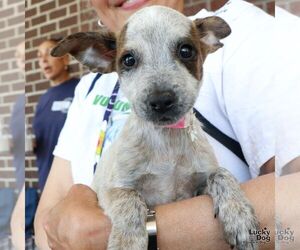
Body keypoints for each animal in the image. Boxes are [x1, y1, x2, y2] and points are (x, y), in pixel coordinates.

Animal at [51, 5, 258, 250]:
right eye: (128, 60)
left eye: (186, 51)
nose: (161, 100)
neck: (166, 141)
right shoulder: (113, 189)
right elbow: (130, 200)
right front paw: (127, 241)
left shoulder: (195, 187)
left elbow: (221, 174)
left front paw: (239, 214)